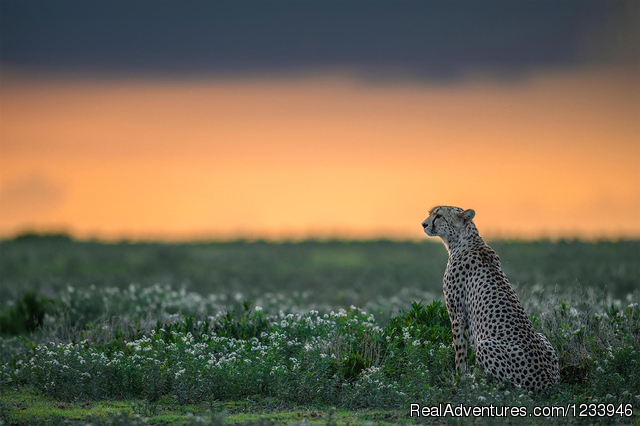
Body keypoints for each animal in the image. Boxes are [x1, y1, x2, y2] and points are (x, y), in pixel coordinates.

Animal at [422, 206, 556, 392]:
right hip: (542, 336)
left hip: (485, 345)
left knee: (503, 386)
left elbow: (460, 354)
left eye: (439, 215)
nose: (424, 224)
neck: (465, 241)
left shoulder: (457, 315)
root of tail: (548, 381)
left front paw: (459, 381)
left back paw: (477, 383)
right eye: (431, 213)